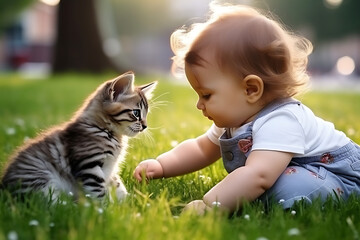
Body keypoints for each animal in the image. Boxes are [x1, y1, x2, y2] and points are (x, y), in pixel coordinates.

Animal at [1, 72, 156, 202]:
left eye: (146, 114)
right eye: (136, 113)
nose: (145, 126)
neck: (105, 131)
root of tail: (3, 186)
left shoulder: (110, 169)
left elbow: (118, 186)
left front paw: (130, 204)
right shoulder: (89, 165)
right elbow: (99, 193)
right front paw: (105, 210)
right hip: (40, 179)